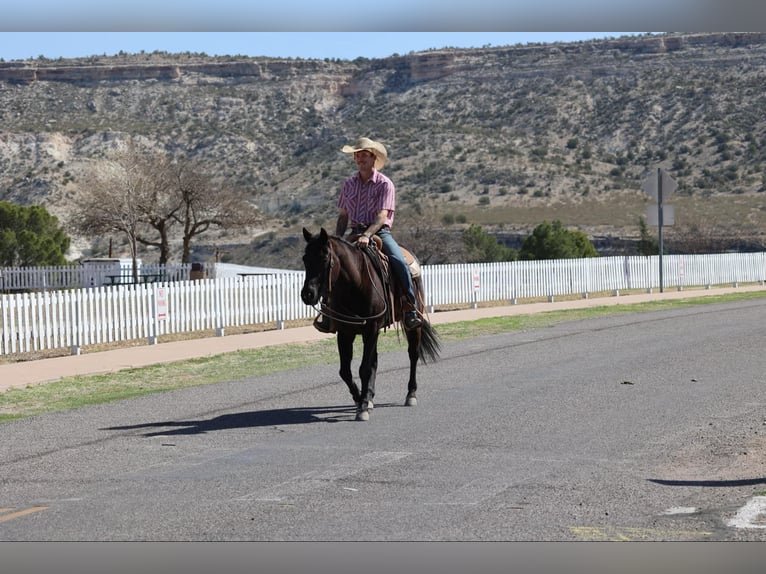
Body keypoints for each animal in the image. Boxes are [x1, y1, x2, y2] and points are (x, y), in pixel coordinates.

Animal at [300, 227, 441, 421]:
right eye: (305, 259)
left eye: (324, 258)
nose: (307, 294)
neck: (356, 283)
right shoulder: (345, 332)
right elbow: (346, 371)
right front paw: (360, 399)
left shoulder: (371, 329)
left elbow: (364, 368)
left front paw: (363, 407)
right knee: (375, 361)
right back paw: (371, 396)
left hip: (413, 324)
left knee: (413, 354)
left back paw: (411, 394)